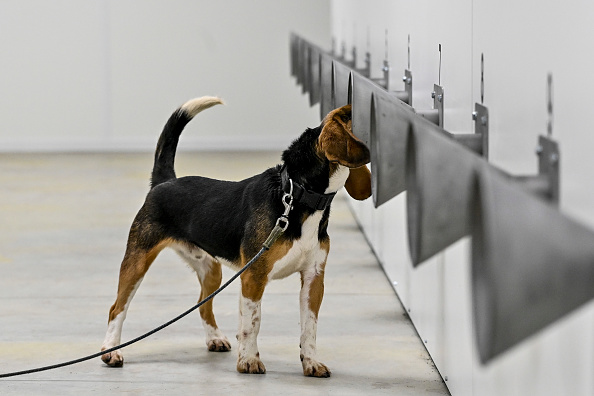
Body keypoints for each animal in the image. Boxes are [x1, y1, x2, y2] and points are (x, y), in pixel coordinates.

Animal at [102, 96, 370, 378]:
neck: (295, 195)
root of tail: (165, 181)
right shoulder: (254, 276)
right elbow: (253, 323)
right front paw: (249, 360)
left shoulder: (313, 278)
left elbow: (310, 327)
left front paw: (311, 363)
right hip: (137, 262)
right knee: (117, 308)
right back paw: (110, 351)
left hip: (212, 270)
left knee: (202, 304)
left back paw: (215, 339)